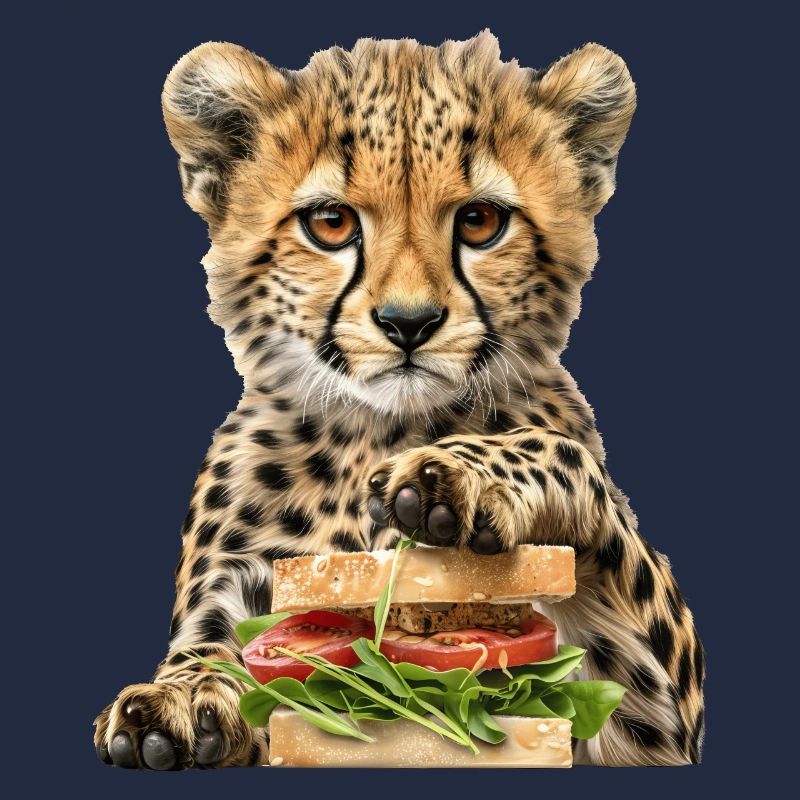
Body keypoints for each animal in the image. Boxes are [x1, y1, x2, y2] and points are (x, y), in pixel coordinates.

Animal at [93, 29, 705, 769]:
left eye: (480, 221)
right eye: (331, 223)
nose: (408, 323)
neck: (377, 434)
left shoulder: (655, 727)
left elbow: (560, 457)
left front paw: (456, 476)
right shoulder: (248, 582)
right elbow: (215, 648)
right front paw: (181, 696)